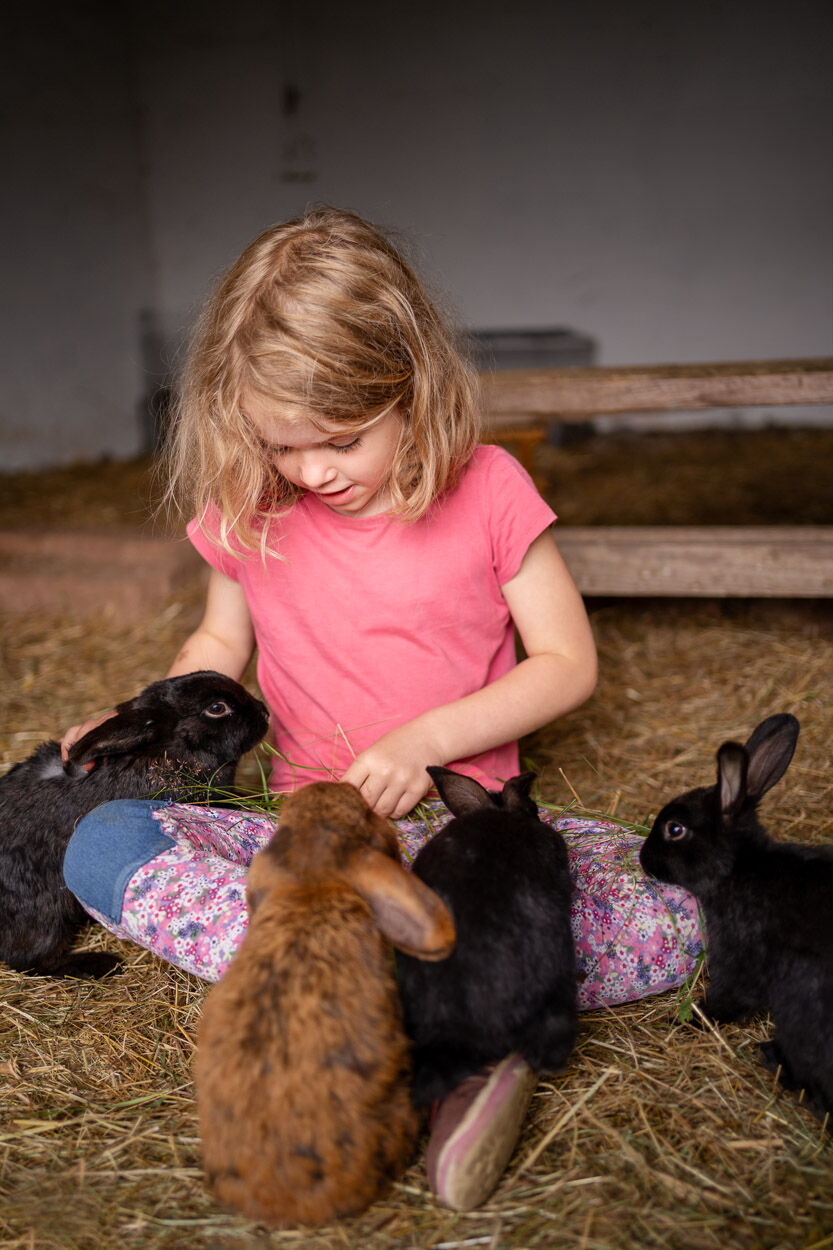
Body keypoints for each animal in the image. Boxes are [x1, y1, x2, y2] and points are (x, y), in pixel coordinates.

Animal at [0, 670, 268, 979]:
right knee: (32, 959)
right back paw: (100, 963)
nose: (264, 712)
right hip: (43, 912)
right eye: (216, 708)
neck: (169, 753)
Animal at [639, 712, 833, 1126]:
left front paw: (688, 1020)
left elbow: (728, 998)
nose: (644, 858)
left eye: (675, 829)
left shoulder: (737, 955)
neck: (737, 869)